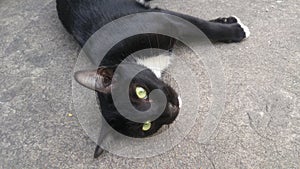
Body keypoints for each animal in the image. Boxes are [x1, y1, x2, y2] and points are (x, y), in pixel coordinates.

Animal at [55, 0, 248, 158]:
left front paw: (236, 30)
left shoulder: (163, 19)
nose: (171, 107)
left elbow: (202, 27)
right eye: (146, 126)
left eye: (140, 92)